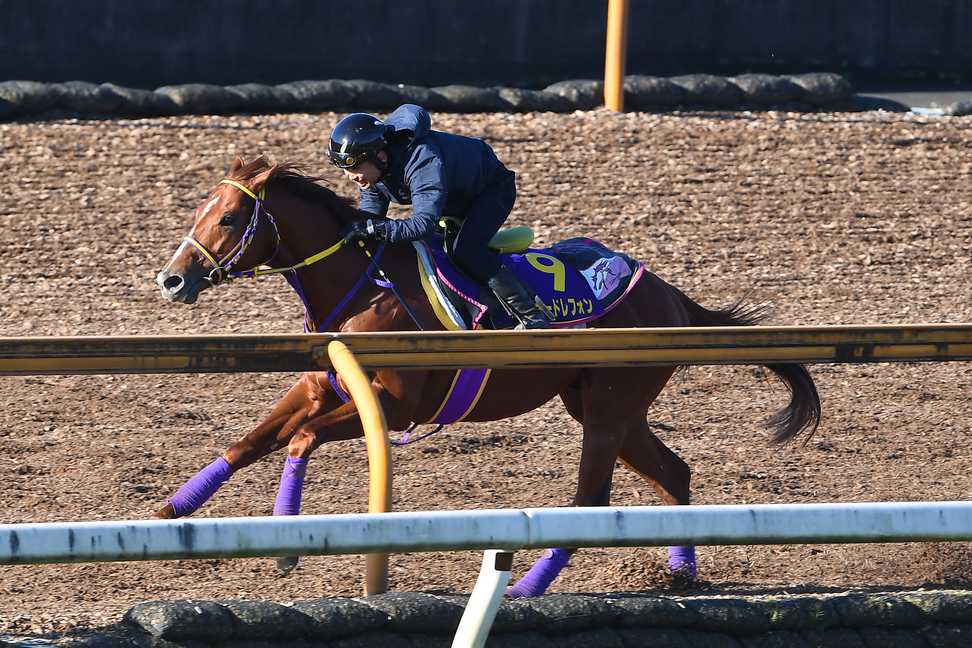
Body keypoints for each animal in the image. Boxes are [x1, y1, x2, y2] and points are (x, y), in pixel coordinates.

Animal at [154, 157, 820, 596]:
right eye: (201, 210)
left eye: (230, 217)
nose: (172, 278)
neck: (367, 286)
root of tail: (673, 296)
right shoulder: (323, 387)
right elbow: (249, 442)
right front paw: (171, 511)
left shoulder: (396, 408)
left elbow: (298, 439)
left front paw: (287, 540)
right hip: (604, 406)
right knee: (674, 474)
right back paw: (679, 574)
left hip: (609, 408)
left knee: (591, 497)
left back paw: (527, 588)